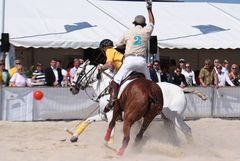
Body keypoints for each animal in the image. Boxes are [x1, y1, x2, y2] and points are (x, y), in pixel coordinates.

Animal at [68, 60, 203, 143]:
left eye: (79, 73)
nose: (72, 88)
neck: (106, 88)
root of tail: (181, 89)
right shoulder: (103, 115)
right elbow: (88, 120)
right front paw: (74, 137)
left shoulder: (111, 115)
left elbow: (111, 132)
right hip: (167, 118)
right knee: (174, 132)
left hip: (175, 116)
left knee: (187, 130)